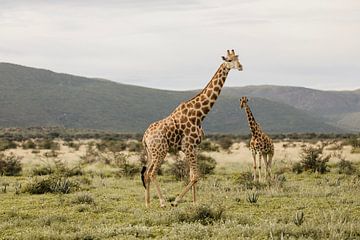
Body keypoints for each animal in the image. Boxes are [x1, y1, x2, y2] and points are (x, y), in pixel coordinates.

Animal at [141, 50, 242, 206]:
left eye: (238, 58)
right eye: (229, 60)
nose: (241, 67)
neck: (199, 115)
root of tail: (145, 136)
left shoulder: (195, 146)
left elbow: (192, 175)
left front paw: (195, 202)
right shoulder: (188, 146)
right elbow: (196, 176)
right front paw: (176, 201)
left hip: (152, 152)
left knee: (146, 173)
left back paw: (148, 203)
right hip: (160, 151)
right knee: (152, 173)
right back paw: (163, 202)